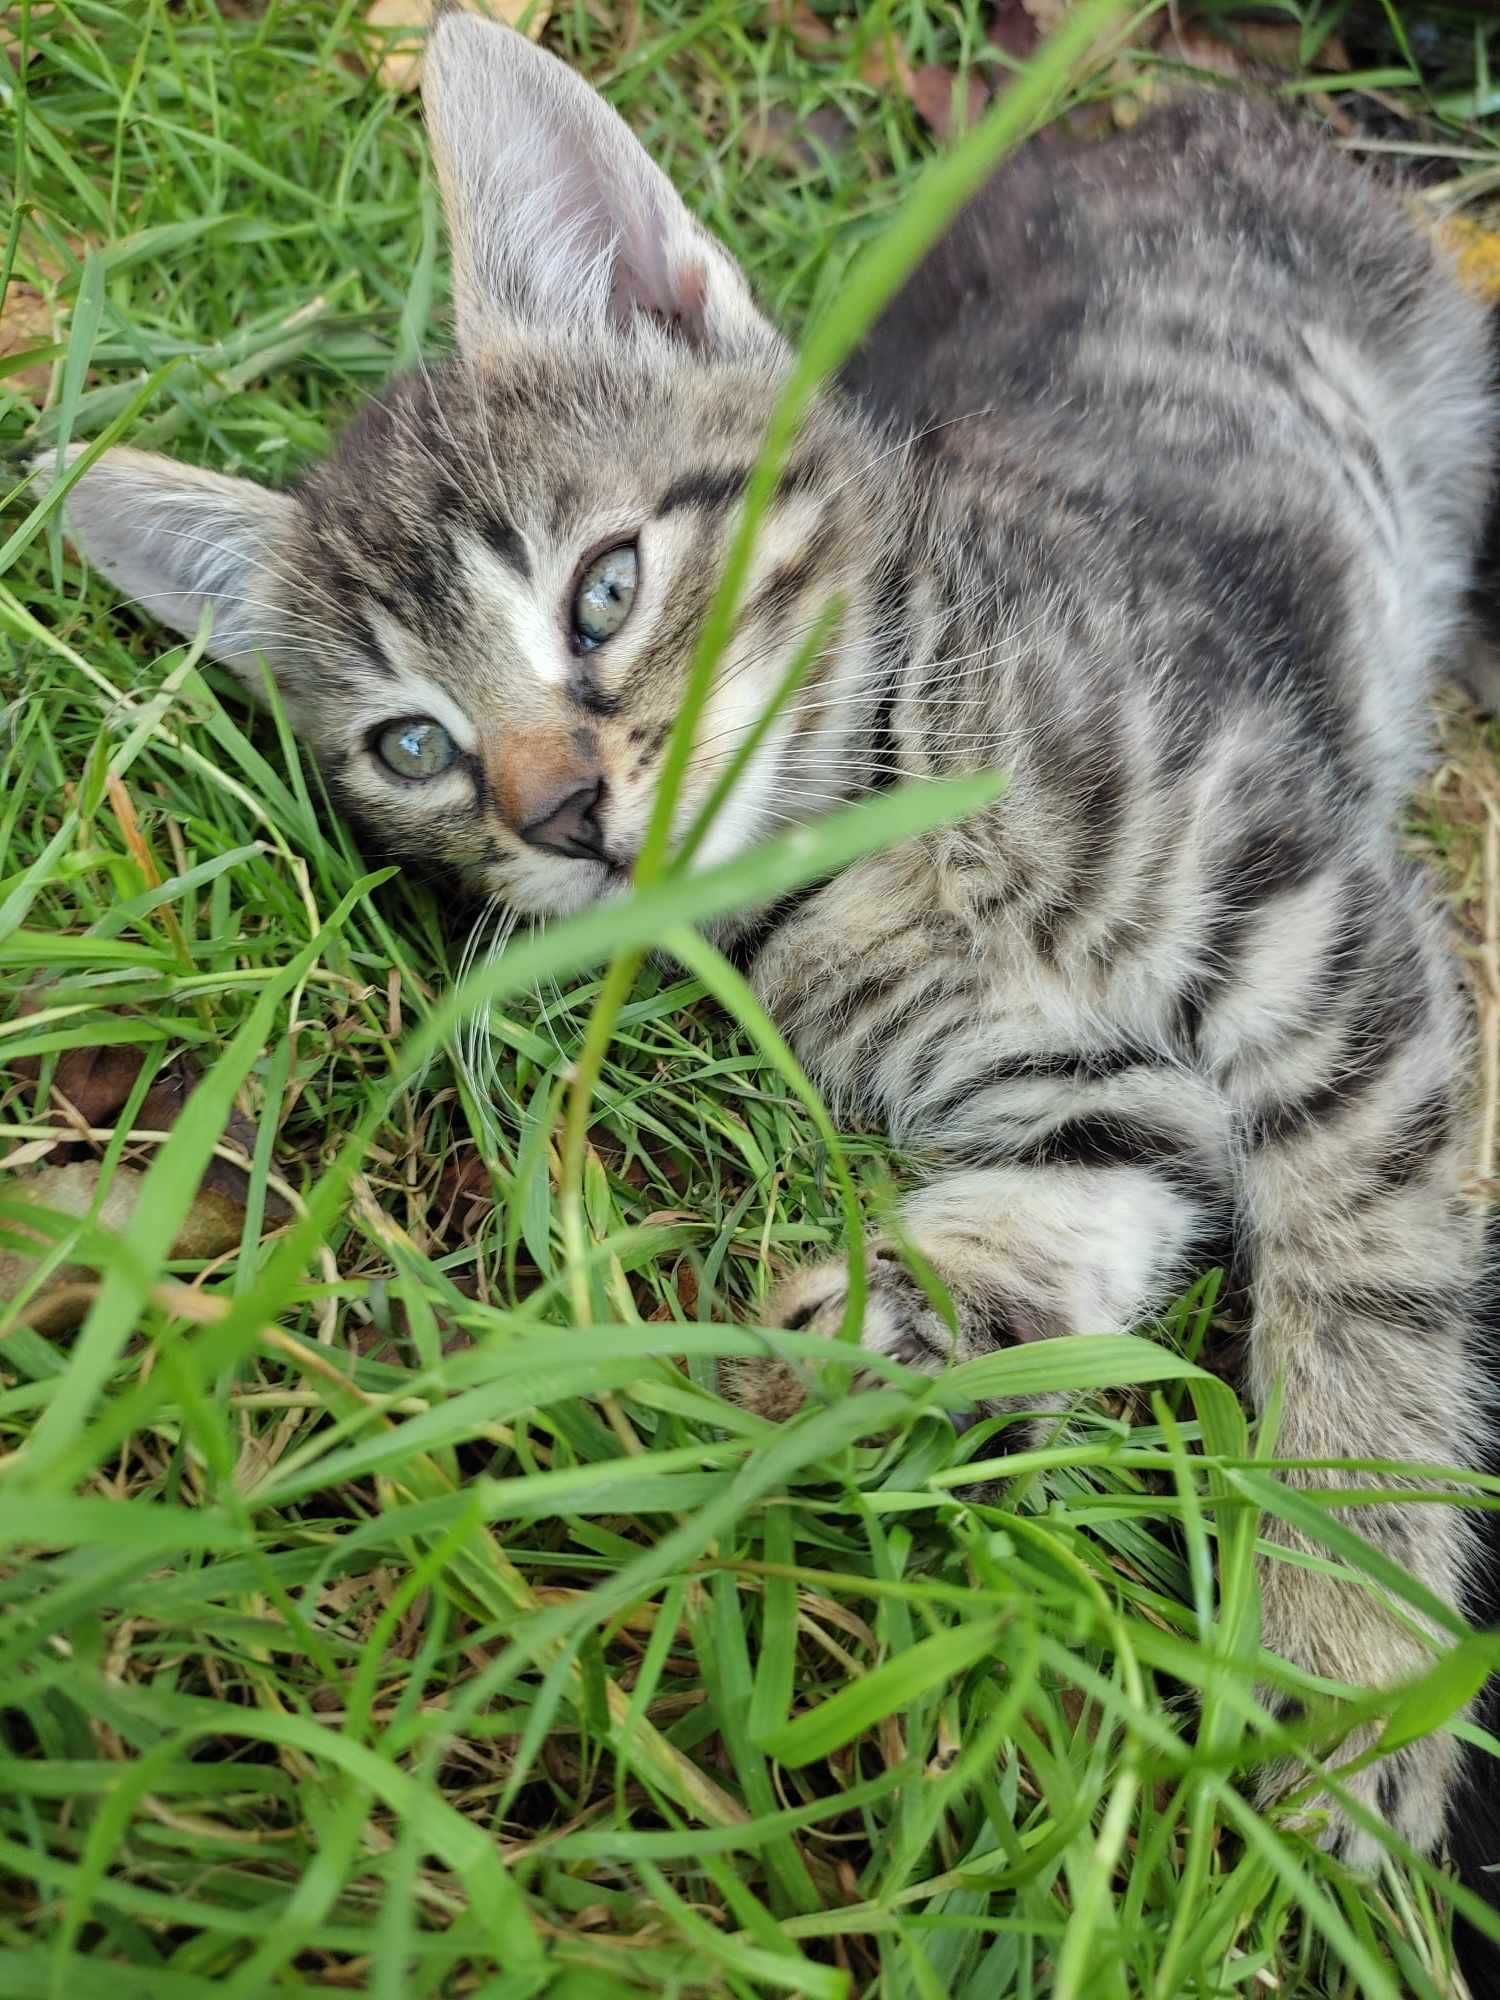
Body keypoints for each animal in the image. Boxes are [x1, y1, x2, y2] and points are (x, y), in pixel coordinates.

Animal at [41, 7, 1496, 1864]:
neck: (887, 826)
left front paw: (1352, 1670)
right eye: (414, 746)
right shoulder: (1093, 1099)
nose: (559, 815)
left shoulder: (1325, 945)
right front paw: (803, 1371)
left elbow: (1365, 1291)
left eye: (604, 589)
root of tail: (1183, 115)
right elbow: (1066, 1214)